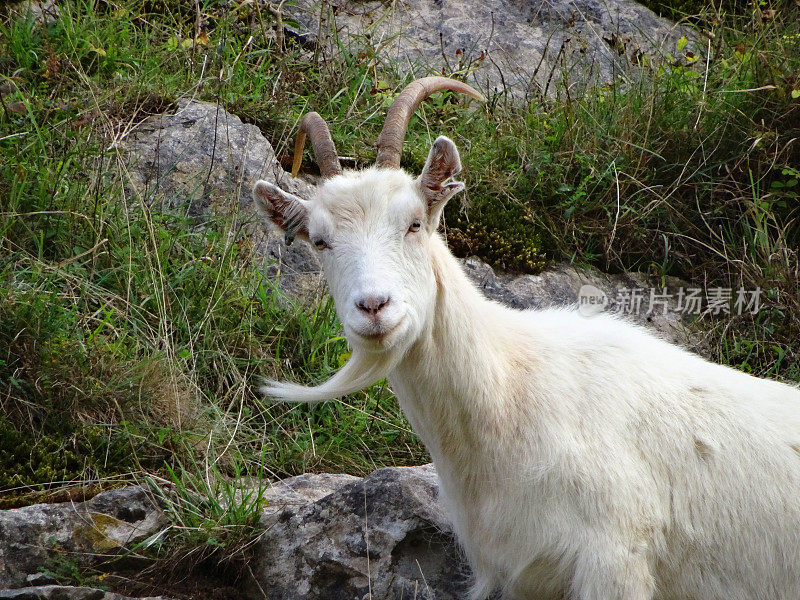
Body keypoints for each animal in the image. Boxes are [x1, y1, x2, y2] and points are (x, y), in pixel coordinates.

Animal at [253, 76, 800, 600]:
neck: (510, 392)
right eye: (319, 241)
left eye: (414, 224)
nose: (373, 307)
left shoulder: (615, 557)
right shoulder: (525, 572)